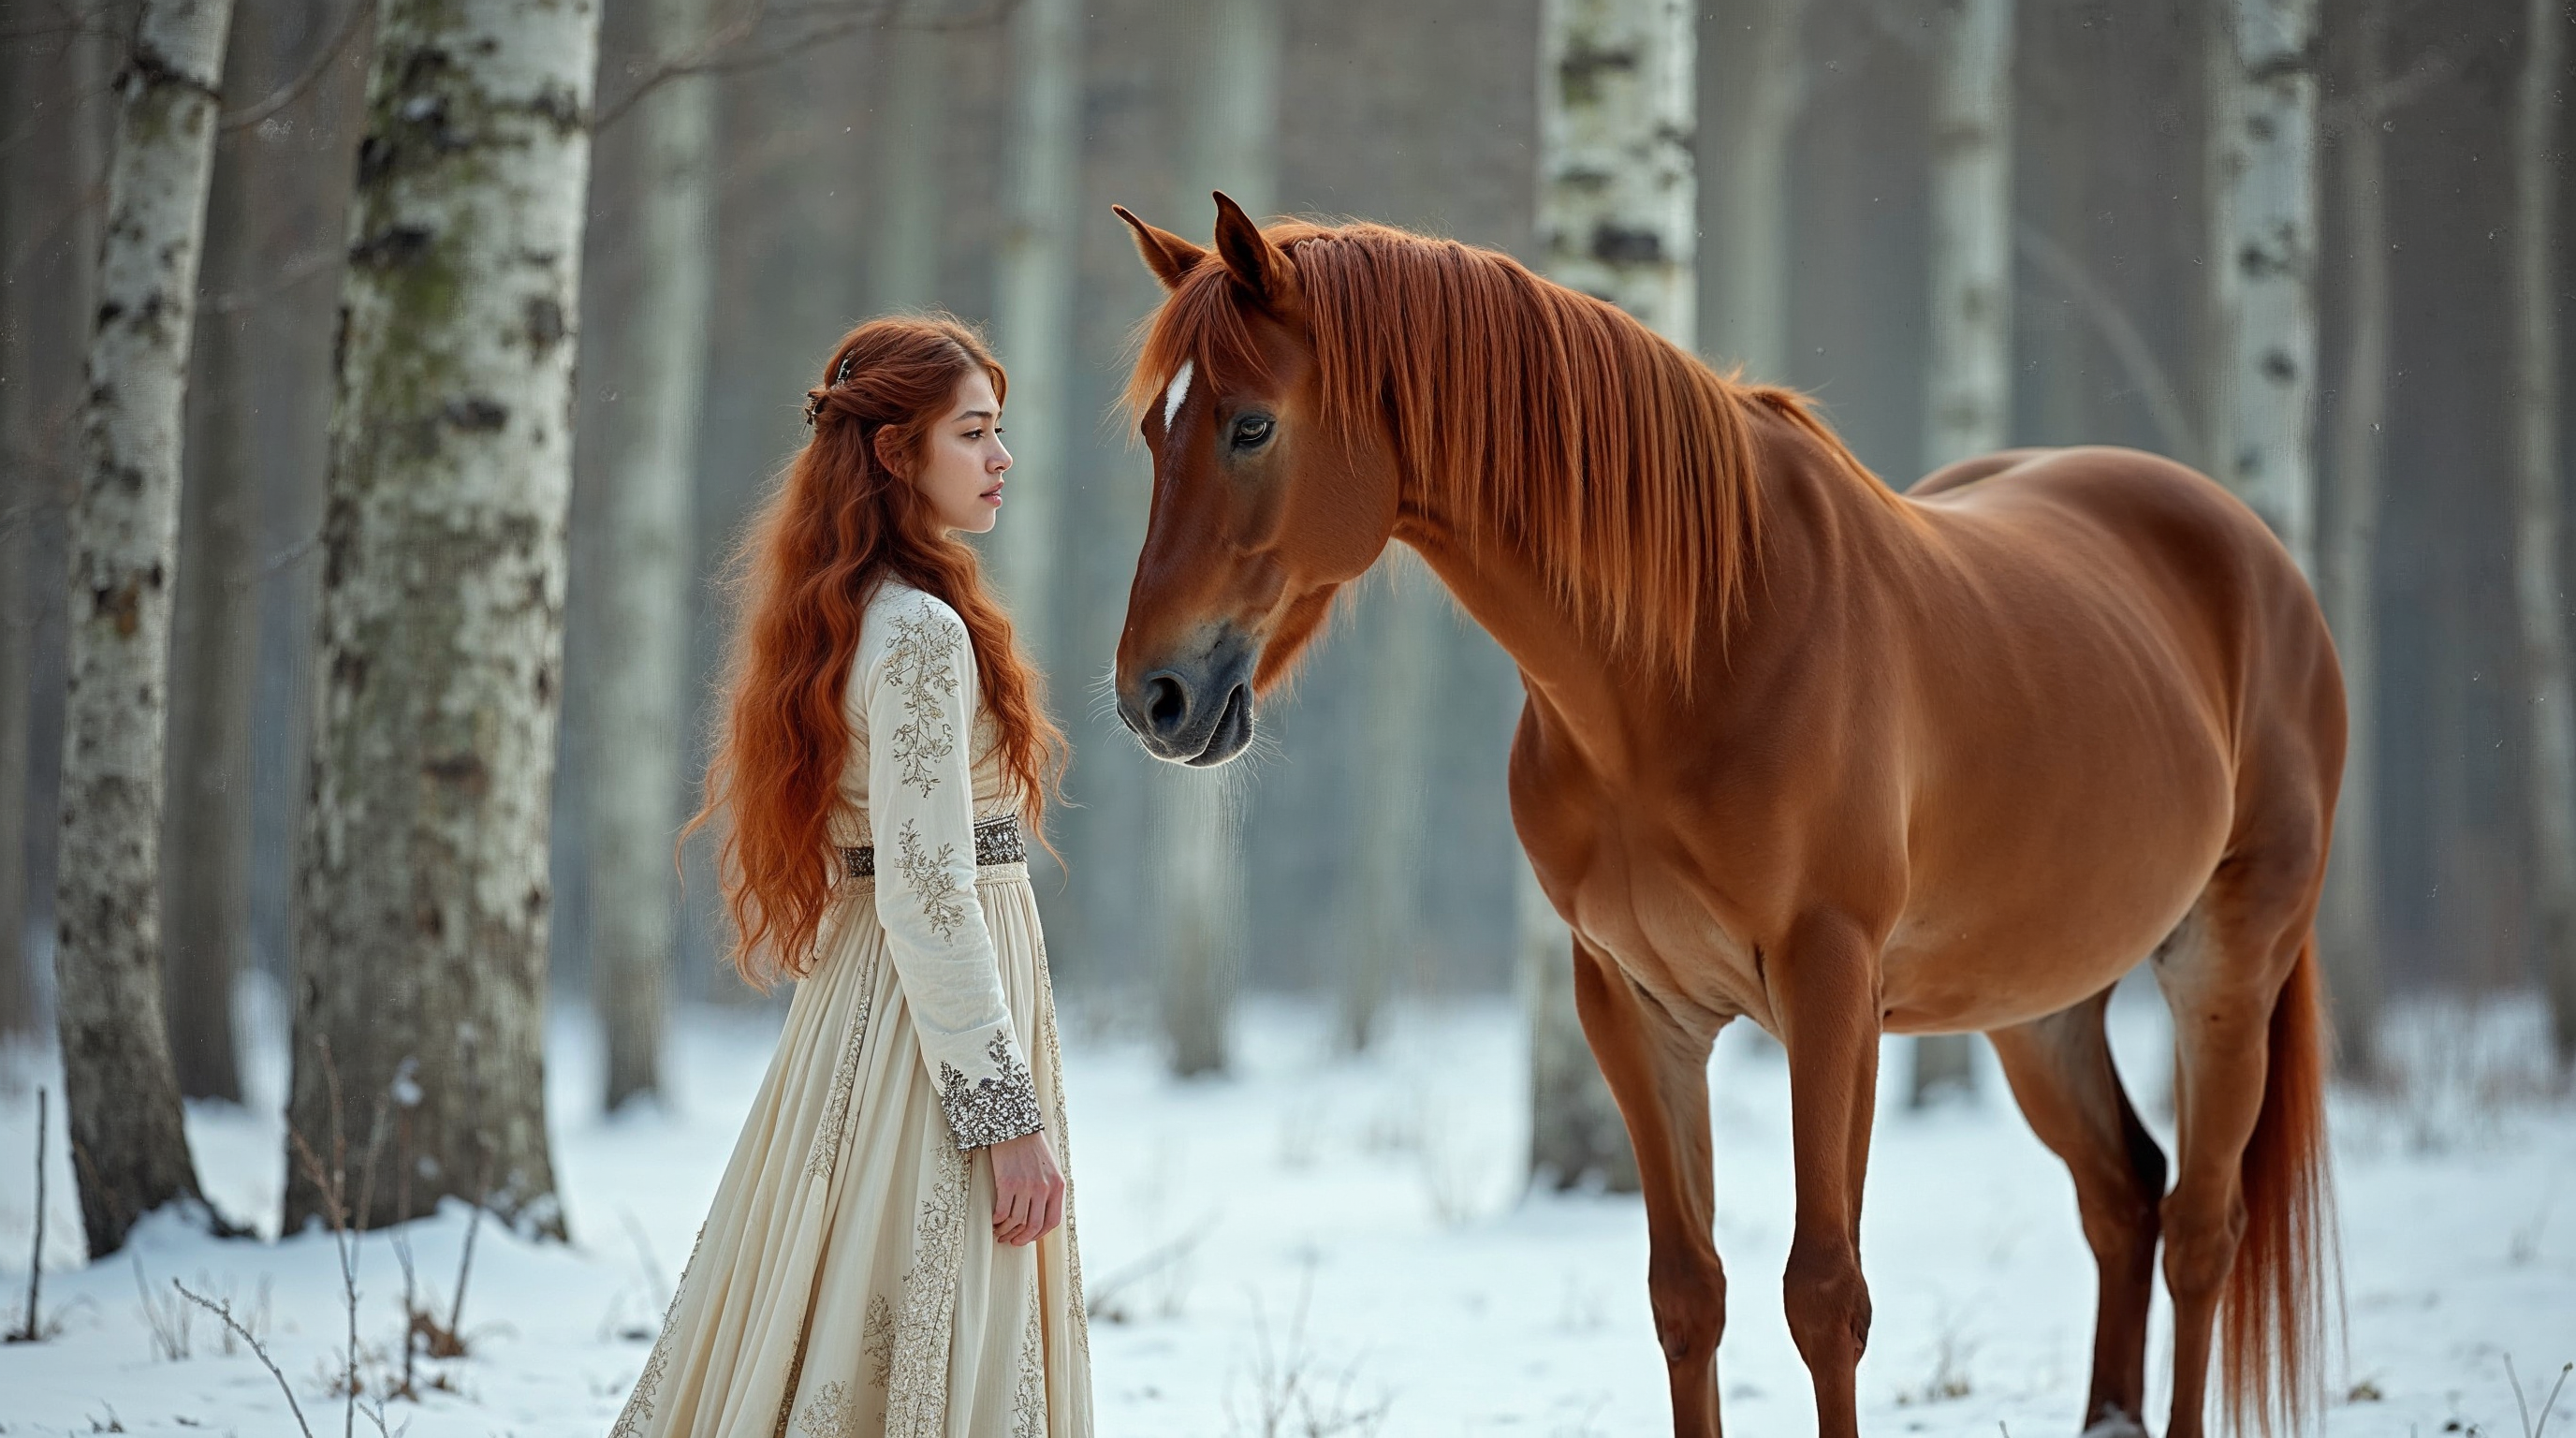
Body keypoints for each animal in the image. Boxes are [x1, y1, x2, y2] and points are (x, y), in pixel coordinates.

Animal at [1105, 194, 2339, 1438]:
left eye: (1250, 427)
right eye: (1155, 435)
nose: (1153, 698)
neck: (1692, 654)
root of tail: (2261, 560)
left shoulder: (1831, 988)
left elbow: (1825, 1294)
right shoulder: (1634, 1004)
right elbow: (1686, 1294)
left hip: (2224, 967)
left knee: (2199, 1231)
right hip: (2040, 1006)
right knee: (2122, 1196)